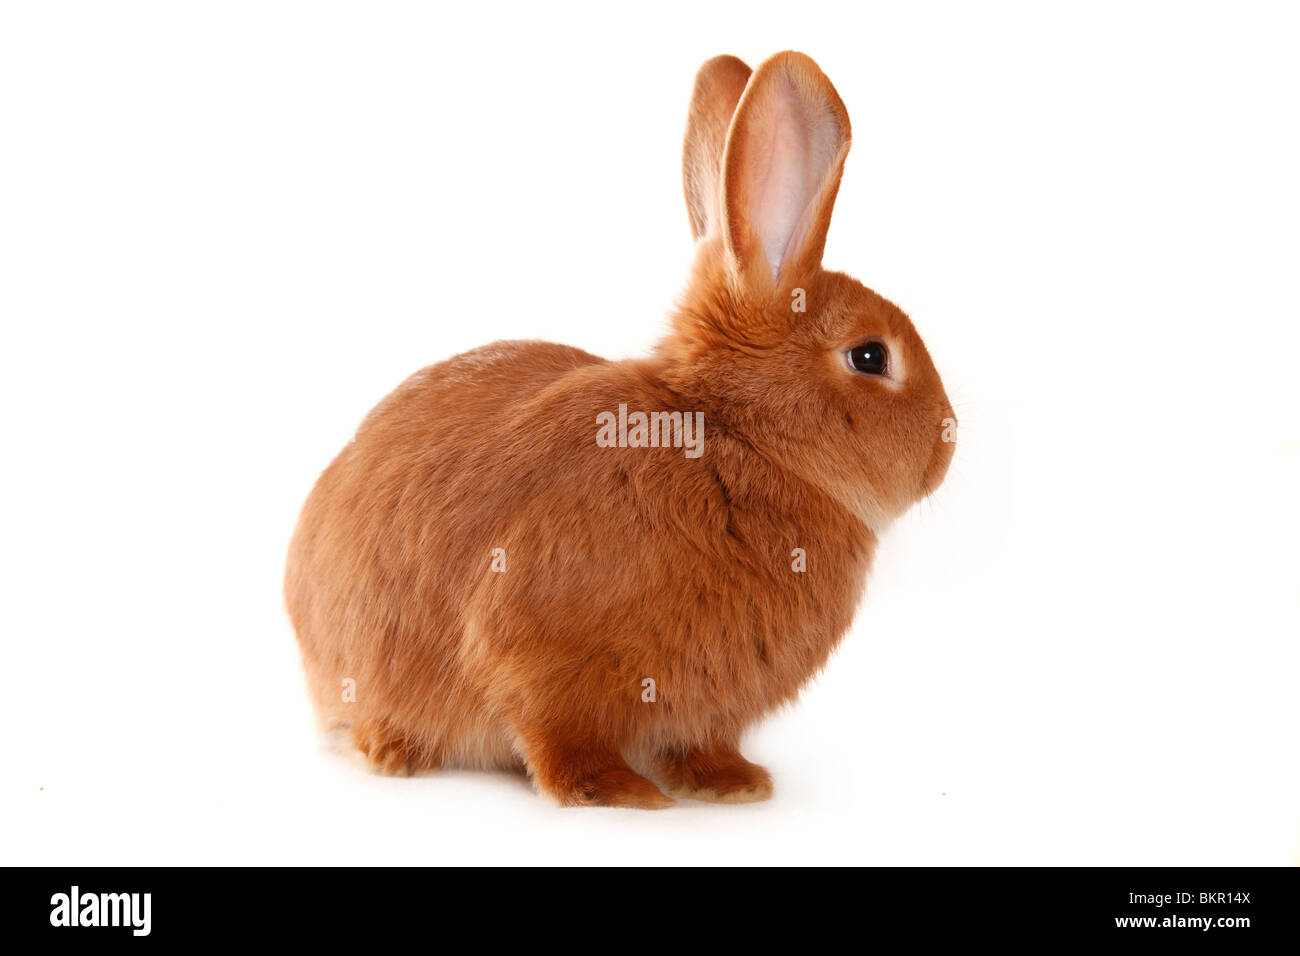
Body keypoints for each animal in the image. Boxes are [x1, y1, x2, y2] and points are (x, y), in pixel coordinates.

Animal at [284, 50, 956, 806]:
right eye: (870, 357)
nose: (948, 442)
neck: (734, 436)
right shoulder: (535, 649)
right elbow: (557, 734)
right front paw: (617, 793)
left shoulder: (706, 708)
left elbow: (700, 741)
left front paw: (735, 784)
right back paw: (391, 751)